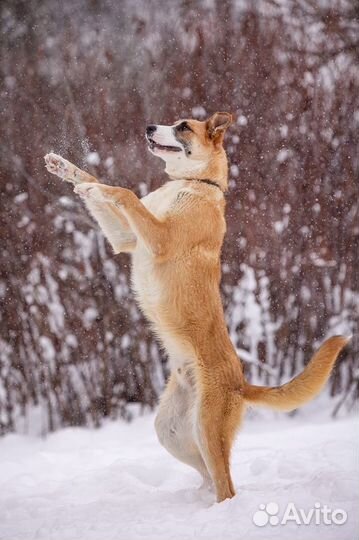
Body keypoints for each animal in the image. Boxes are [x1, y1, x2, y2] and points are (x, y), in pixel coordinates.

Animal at [45, 112, 352, 504]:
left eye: (183, 127)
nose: (148, 127)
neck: (193, 183)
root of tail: (240, 384)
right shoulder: (126, 238)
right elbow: (95, 179)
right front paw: (66, 169)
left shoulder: (159, 238)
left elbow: (124, 193)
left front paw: (95, 190)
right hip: (172, 431)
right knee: (209, 476)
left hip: (207, 428)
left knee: (227, 487)